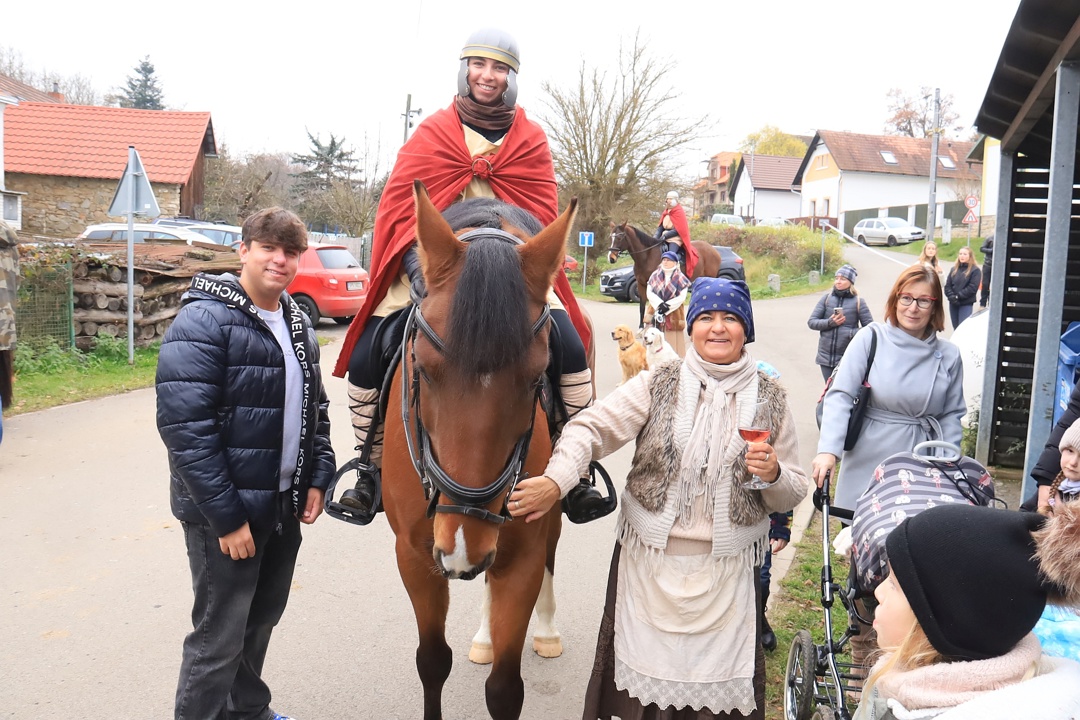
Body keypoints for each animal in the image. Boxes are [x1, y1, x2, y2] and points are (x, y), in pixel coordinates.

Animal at [381, 181, 579, 720]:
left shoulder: (521, 553)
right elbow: (432, 661)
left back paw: (546, 630)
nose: (464, 546)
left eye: (537, 379)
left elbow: (505, 689)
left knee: (551, 552)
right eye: (424, 371)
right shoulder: (415, 553)